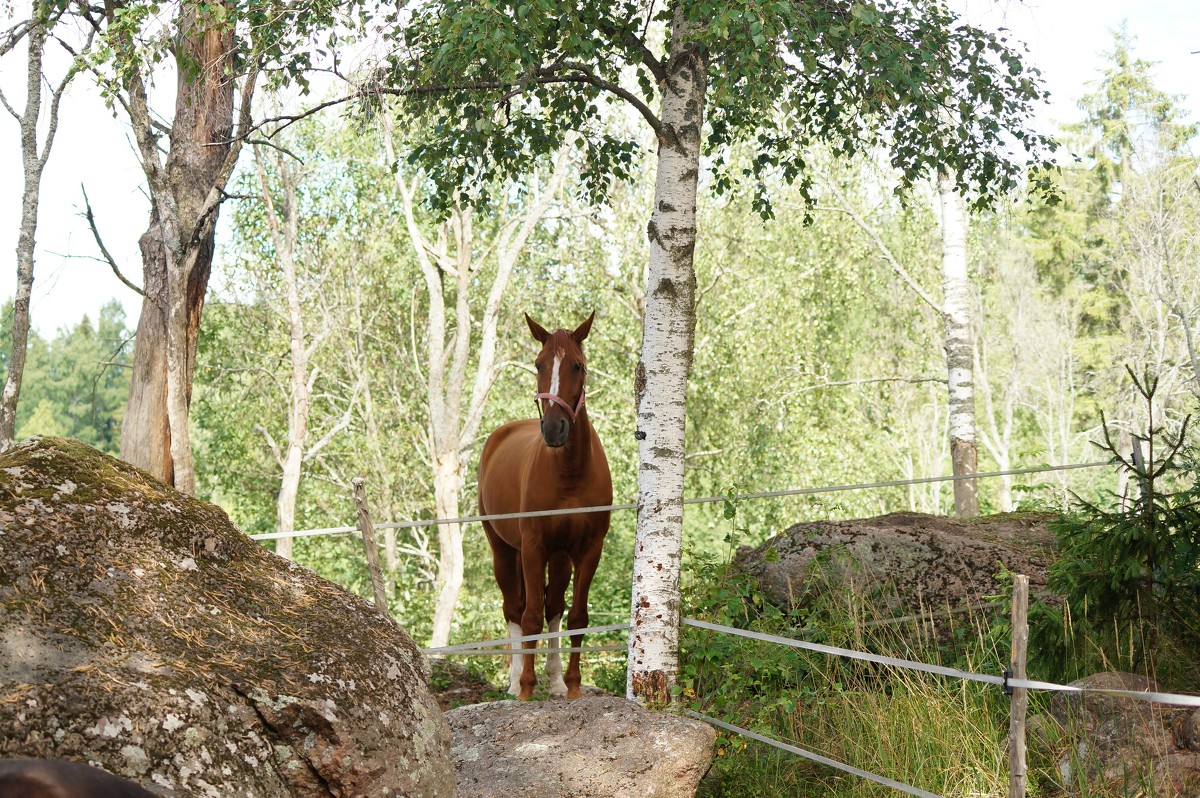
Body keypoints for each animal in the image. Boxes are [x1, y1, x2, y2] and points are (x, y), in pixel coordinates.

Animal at [475, 312, 609, 696]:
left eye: (578, 366)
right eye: (539, 364)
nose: (553, 429)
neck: (570, 474)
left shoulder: (588, 549)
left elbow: (576, 616)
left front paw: (572, 686)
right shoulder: (533, 547)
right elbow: (529, 617)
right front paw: (525, 688)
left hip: (558, 556)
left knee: (554, 608)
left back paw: (555, 680)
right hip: (505, 550)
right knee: (514, 608)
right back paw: (514, 680)